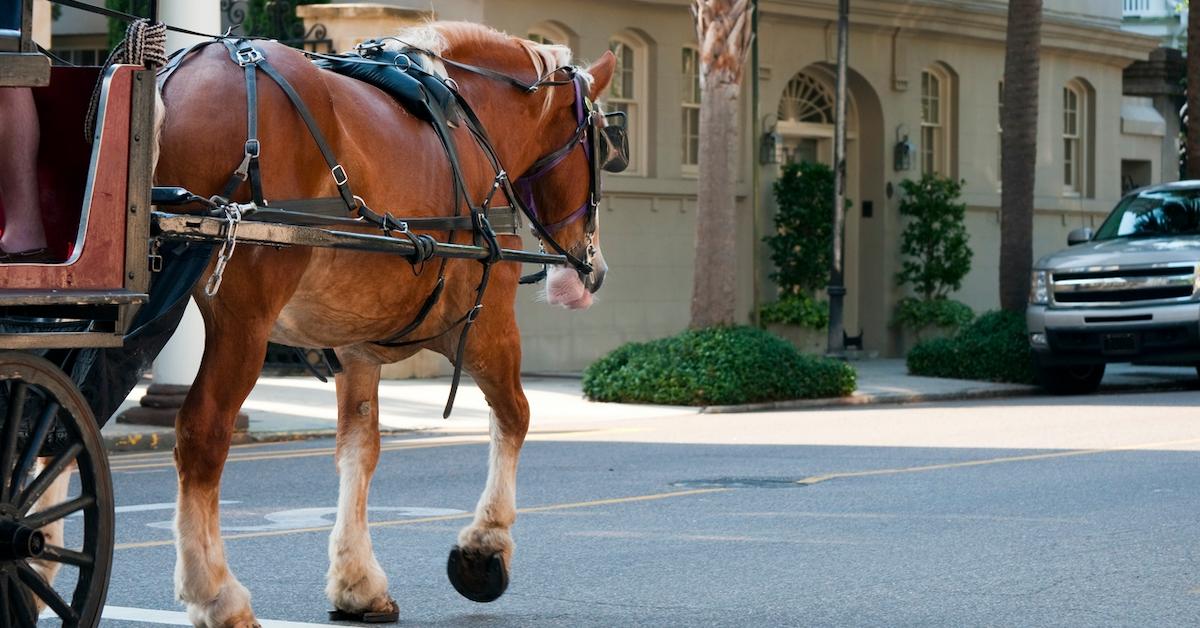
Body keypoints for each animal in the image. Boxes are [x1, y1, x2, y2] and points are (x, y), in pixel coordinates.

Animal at [152, 22, 619, 624]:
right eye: (602, 146)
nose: (593, 270)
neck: (475, 129)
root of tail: (185, 72)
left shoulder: (357, 348)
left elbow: (360, 449)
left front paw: (356, 581)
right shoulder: (486, 323)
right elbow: (515, 417)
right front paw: (484, 547)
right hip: (243, 317)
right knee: (202, 433)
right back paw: (215, 591)